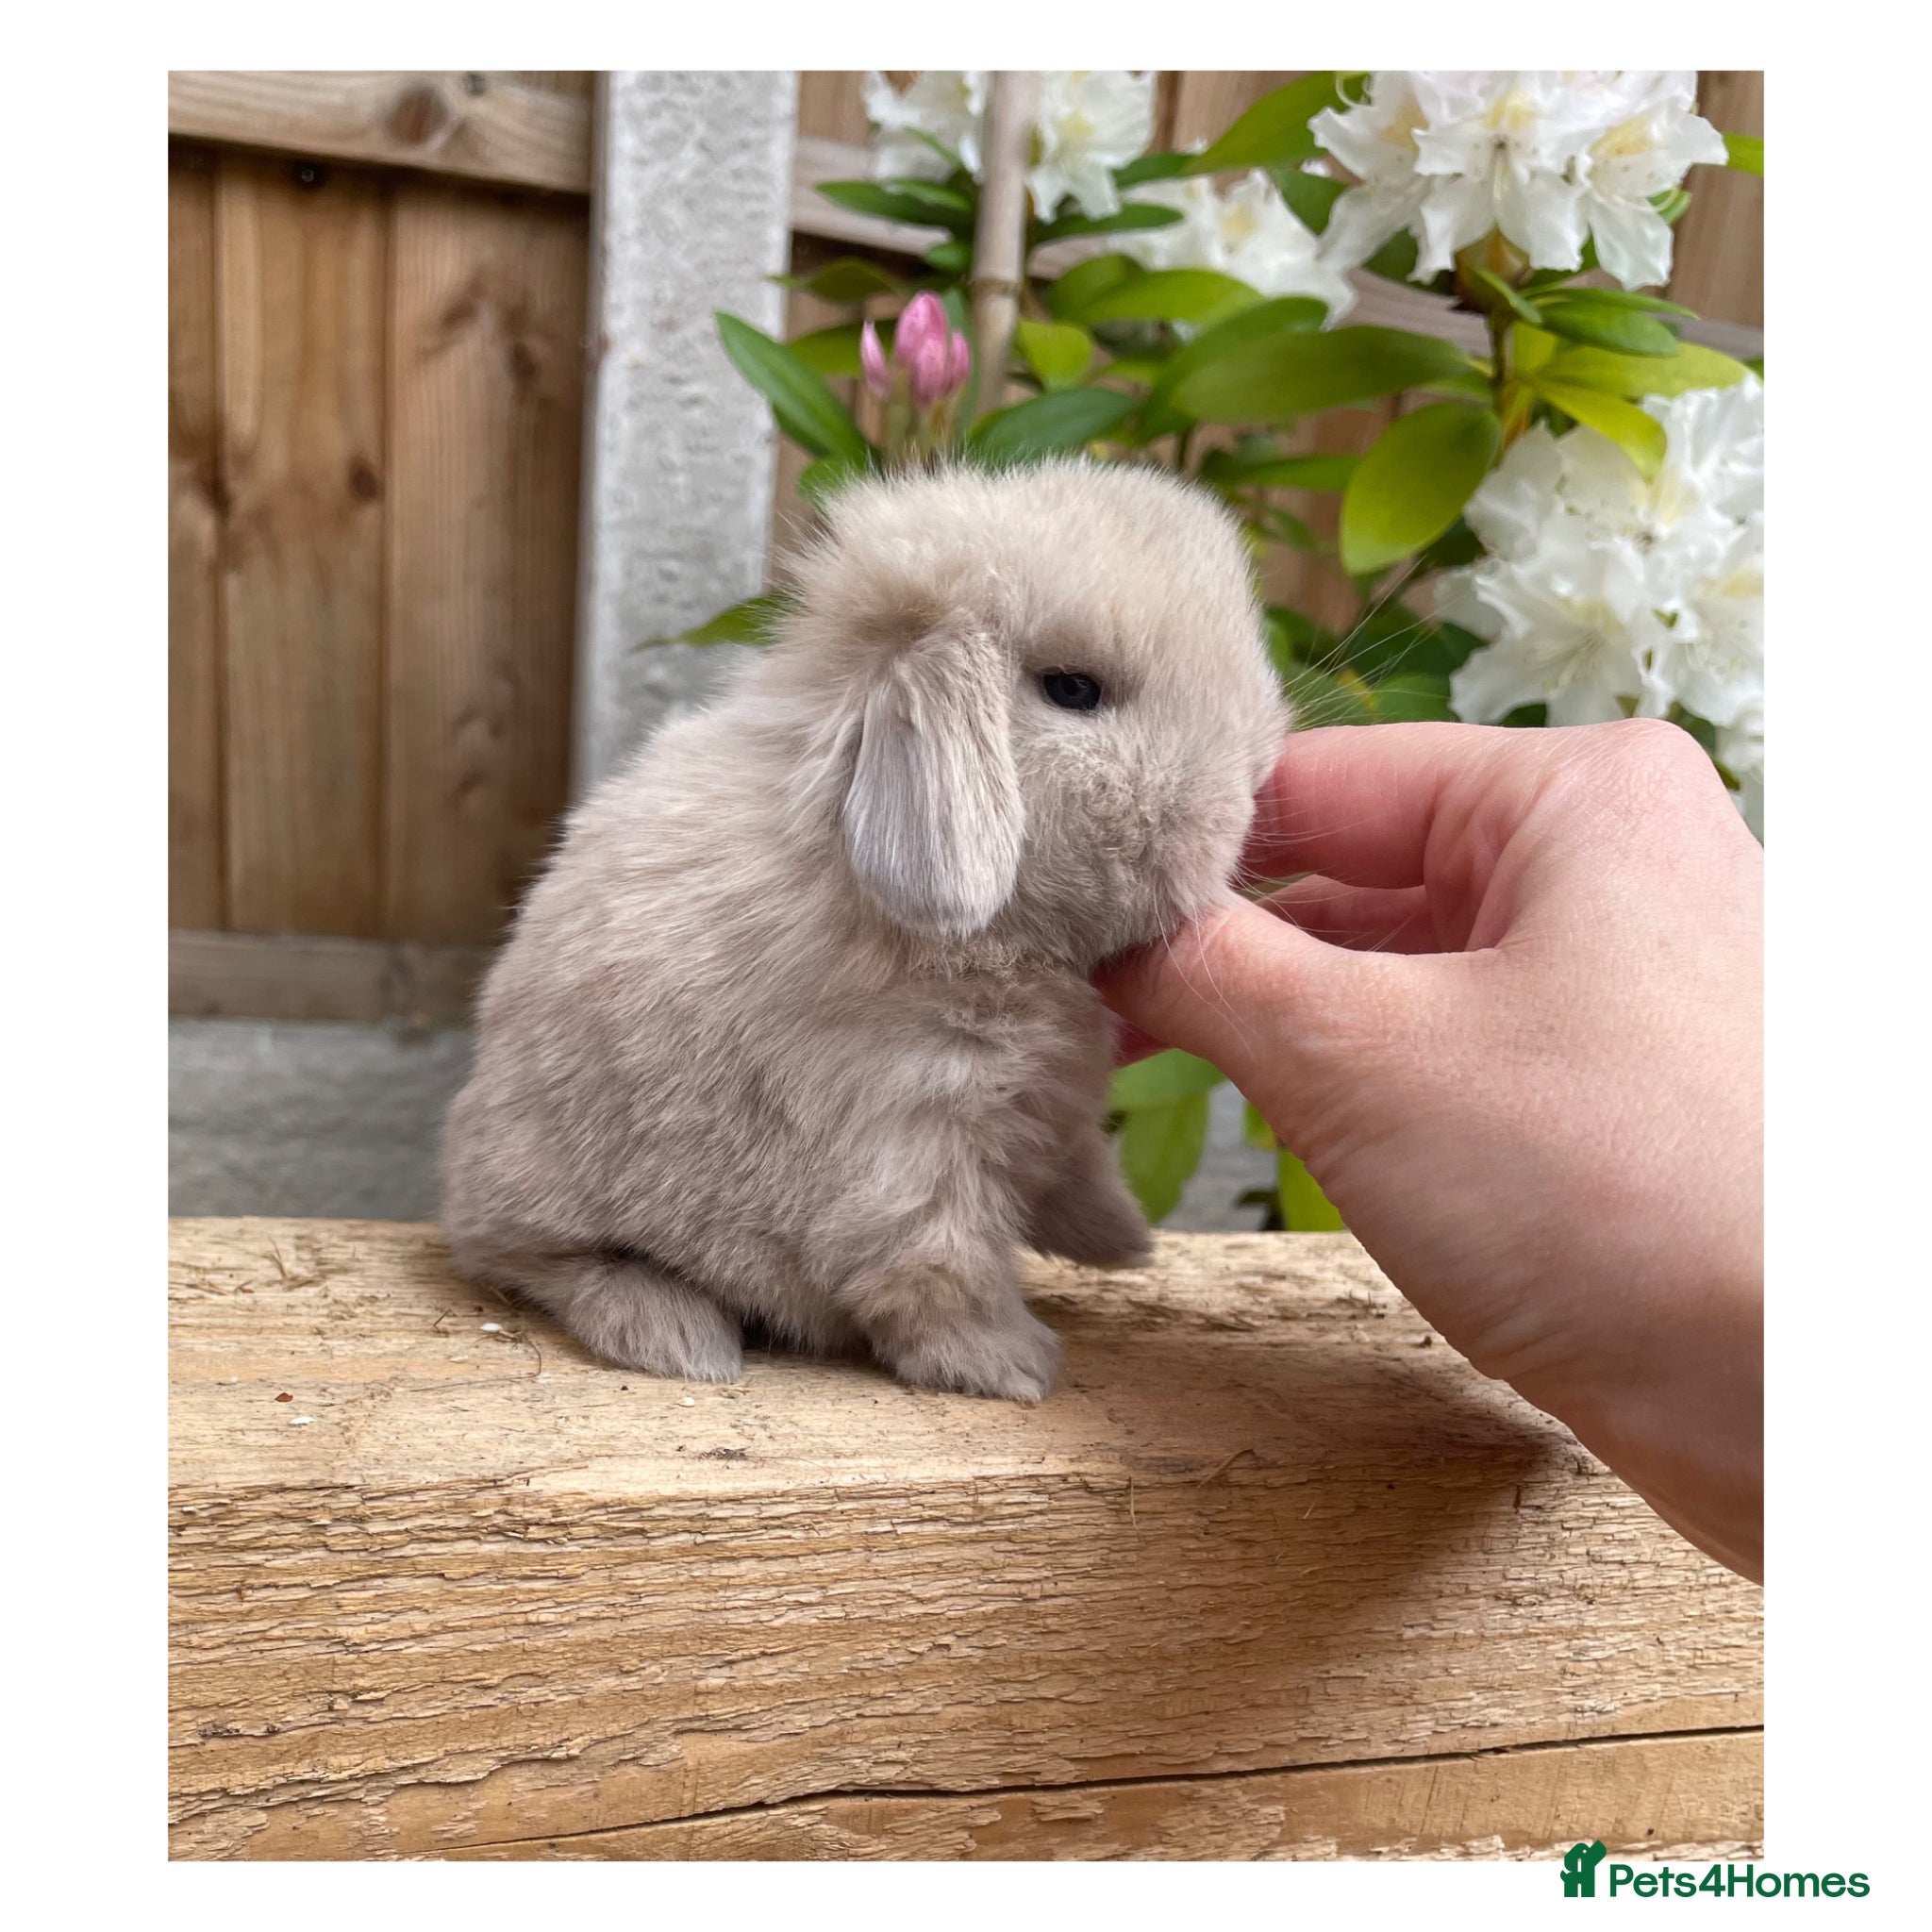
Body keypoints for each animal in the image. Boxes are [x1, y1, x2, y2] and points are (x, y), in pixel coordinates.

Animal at [440, 458, 1287, 1402]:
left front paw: (1125, 1242)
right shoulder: (913, 1137)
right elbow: (939, 1266)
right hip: (545, 1183)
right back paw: (677, 1335)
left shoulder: (1047, 1114)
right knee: (537, 1262)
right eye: (1073, 689)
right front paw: (1014, 1366)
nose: (1251, 791)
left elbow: (1076, 1171)